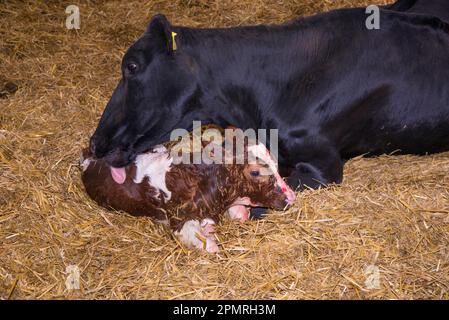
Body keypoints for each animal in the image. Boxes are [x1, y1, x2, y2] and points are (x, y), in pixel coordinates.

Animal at [79, 143, 298, 252]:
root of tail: (88, 156)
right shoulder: (179, 221)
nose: (291, 197)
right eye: (255, 172)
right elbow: (209, 245)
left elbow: (238, 214)